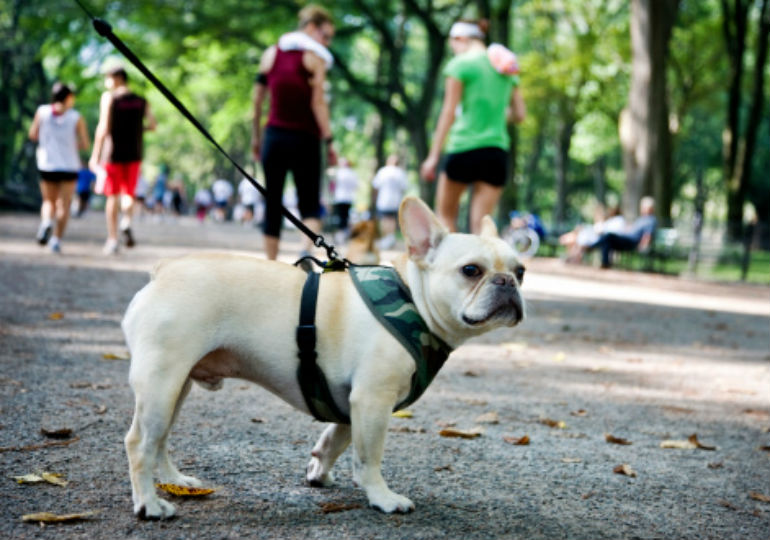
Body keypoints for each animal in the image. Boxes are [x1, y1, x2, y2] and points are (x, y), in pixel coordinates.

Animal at [123, 196, 524, 516]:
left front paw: (318, 471)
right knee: (140, 442)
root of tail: (163, 271)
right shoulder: (373, 399)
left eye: (520, 270)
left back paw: (176, 481)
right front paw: (382, 497)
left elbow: (336, 439)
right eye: (471, 270)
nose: (508, 282)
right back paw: (150, 505)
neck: (414, 300)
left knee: (160, 439)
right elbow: (368, 457)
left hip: (178, 385)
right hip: (161, 381)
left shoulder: (352, 402)